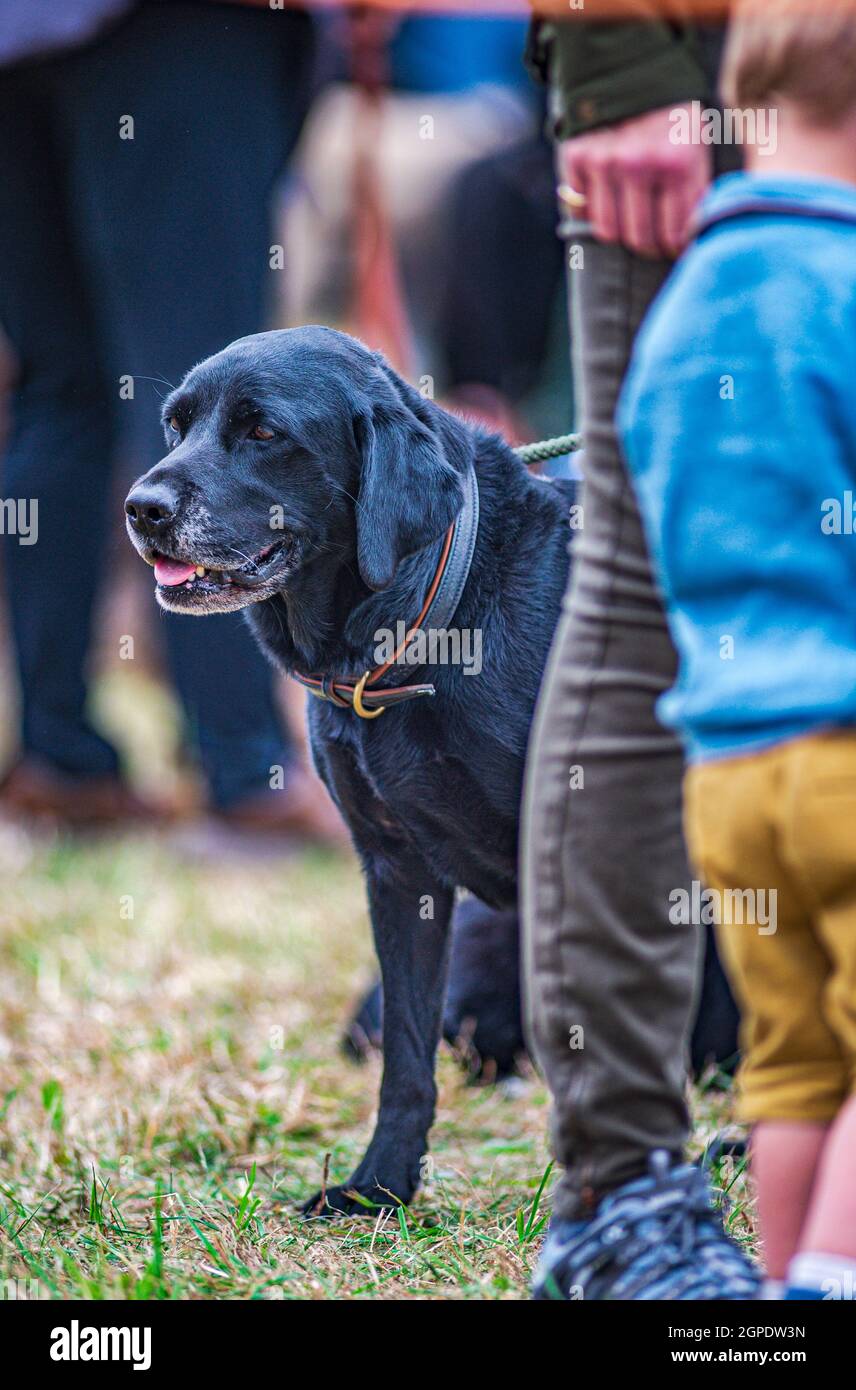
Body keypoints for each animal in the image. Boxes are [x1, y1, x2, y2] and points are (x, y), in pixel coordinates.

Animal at [123, 325, 728, 1217]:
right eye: (175, 425)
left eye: (263, 430)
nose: (143, 508)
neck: (431, 625)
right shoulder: (397, 871)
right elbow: (407, 1055)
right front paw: (379, 1188)